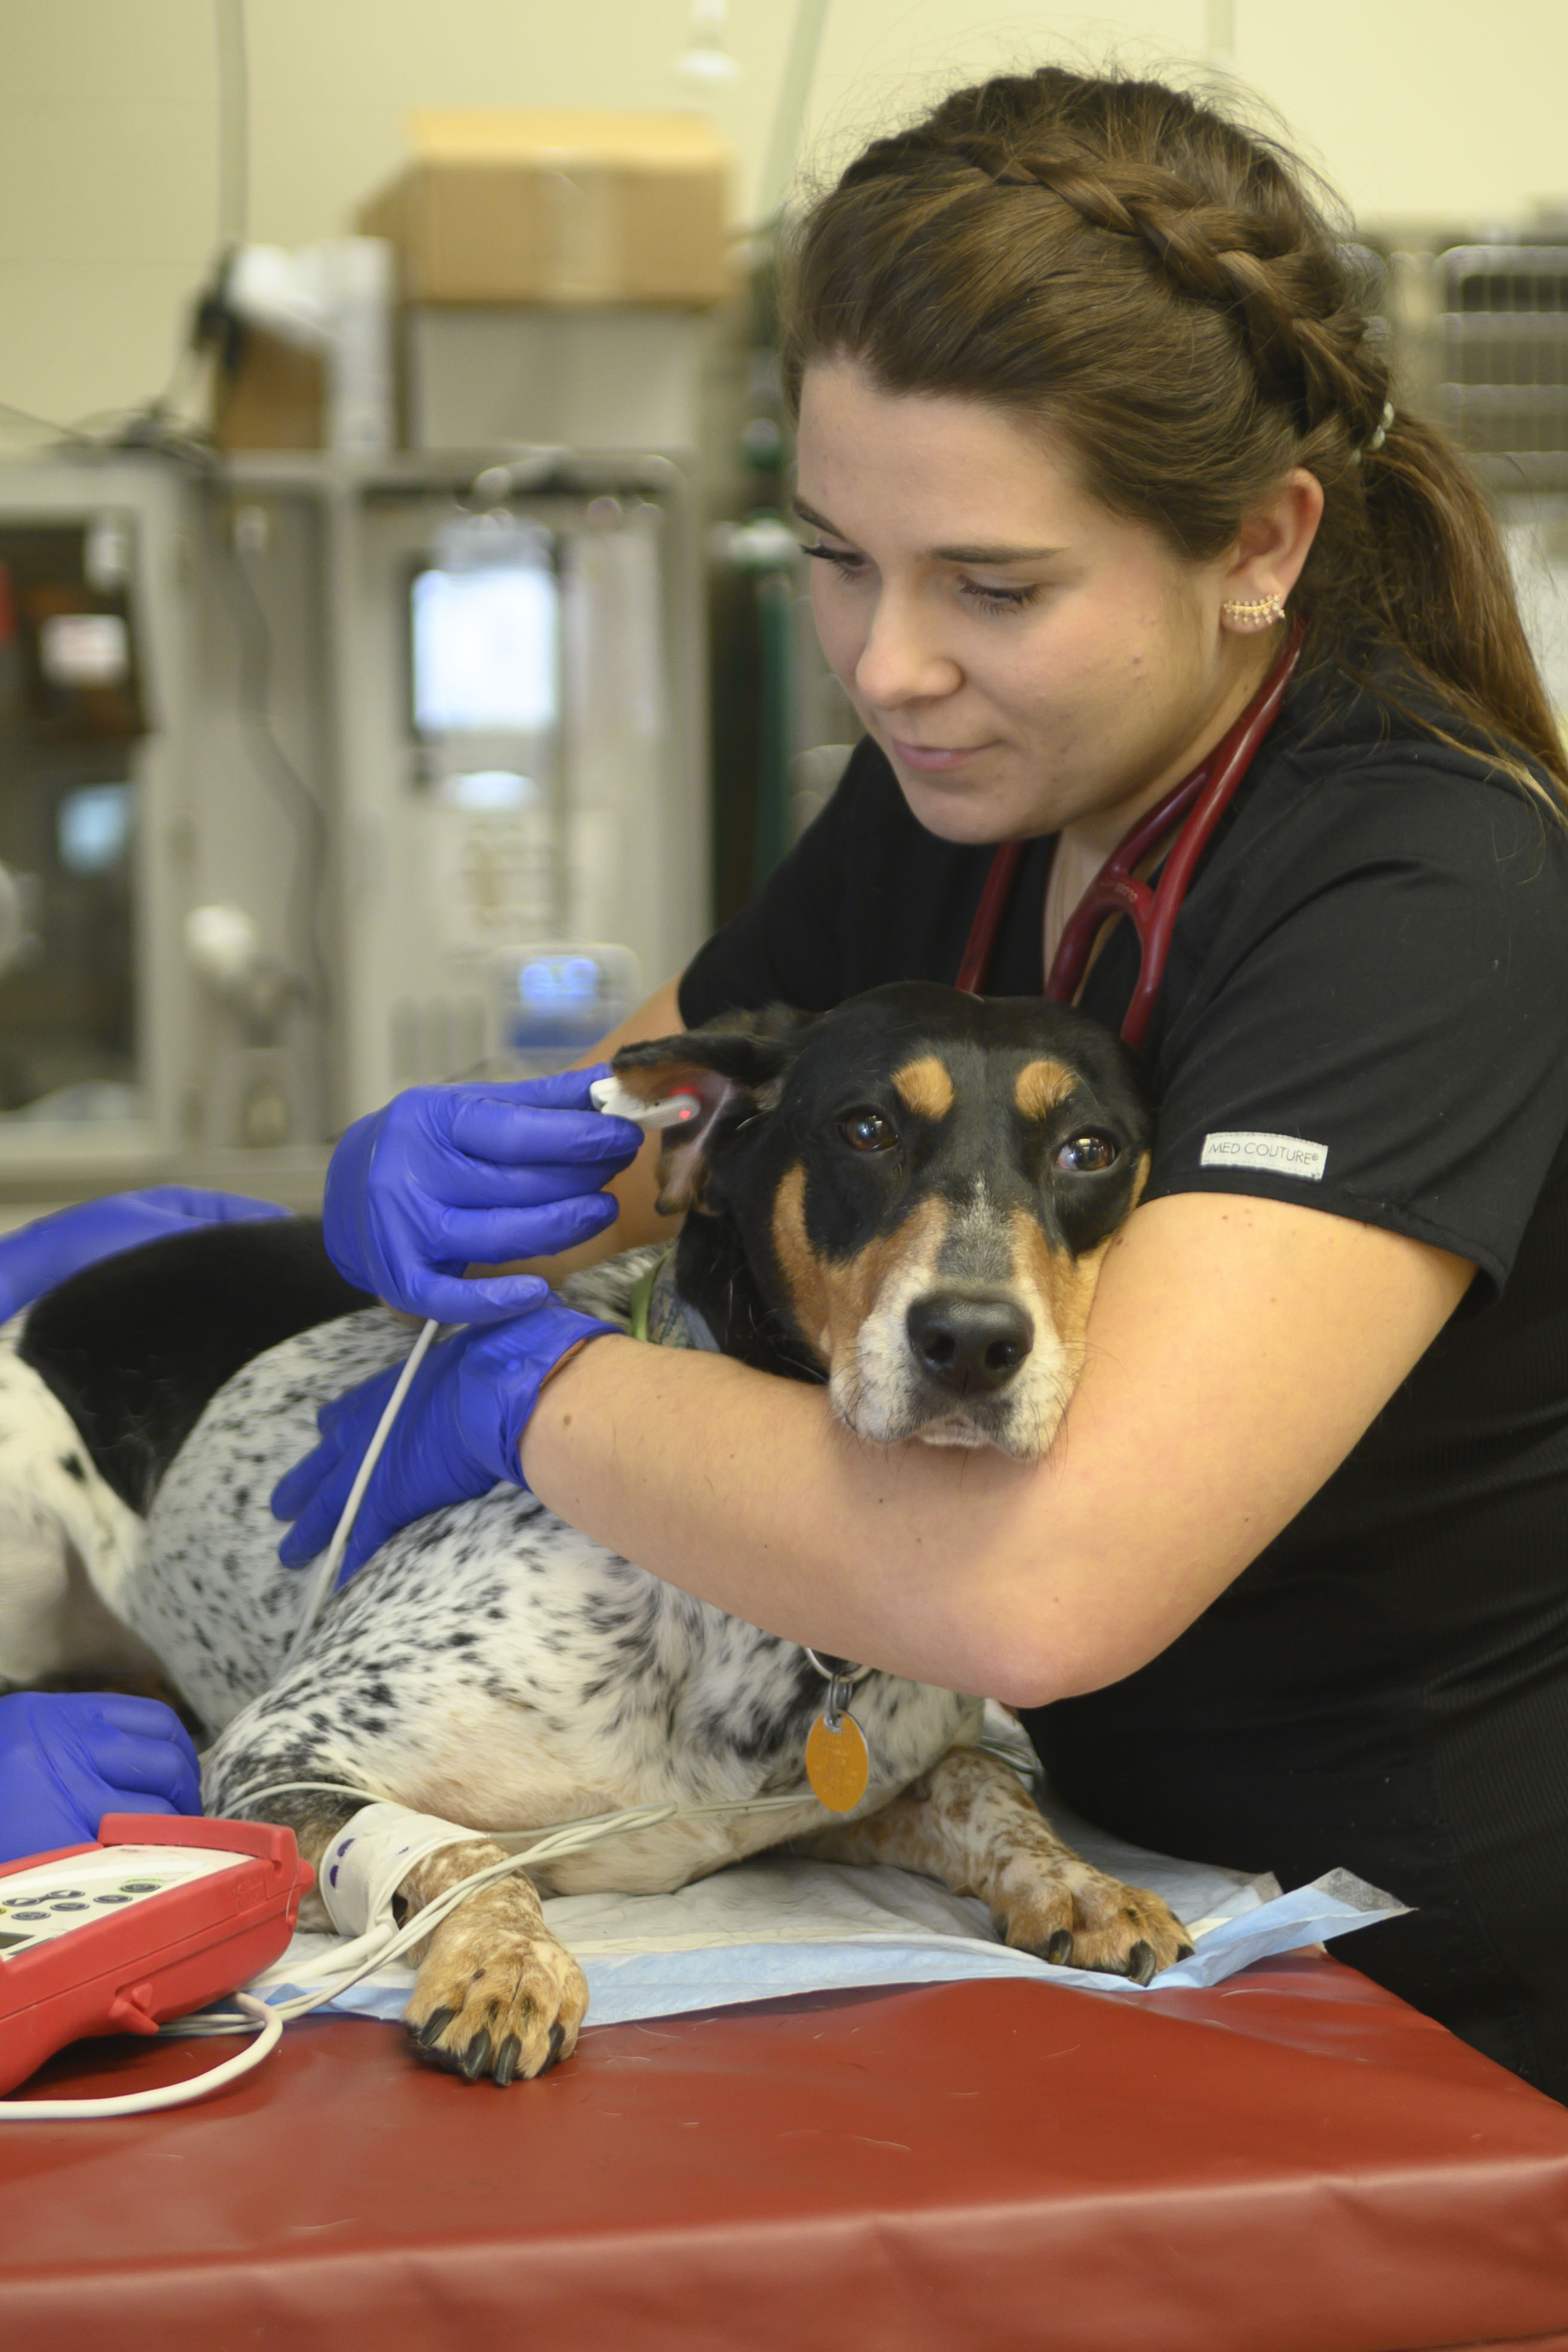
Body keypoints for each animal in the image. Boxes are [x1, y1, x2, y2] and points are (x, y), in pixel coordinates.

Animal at [0, 983, 1189, 2088]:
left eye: (1089, 1150)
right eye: (866, 1129)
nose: (972, 1342)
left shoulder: (831, 1803)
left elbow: (985, 1785)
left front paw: (1083, 1882)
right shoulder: (270, 1755)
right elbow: (464, 1854)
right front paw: (504, 1964)